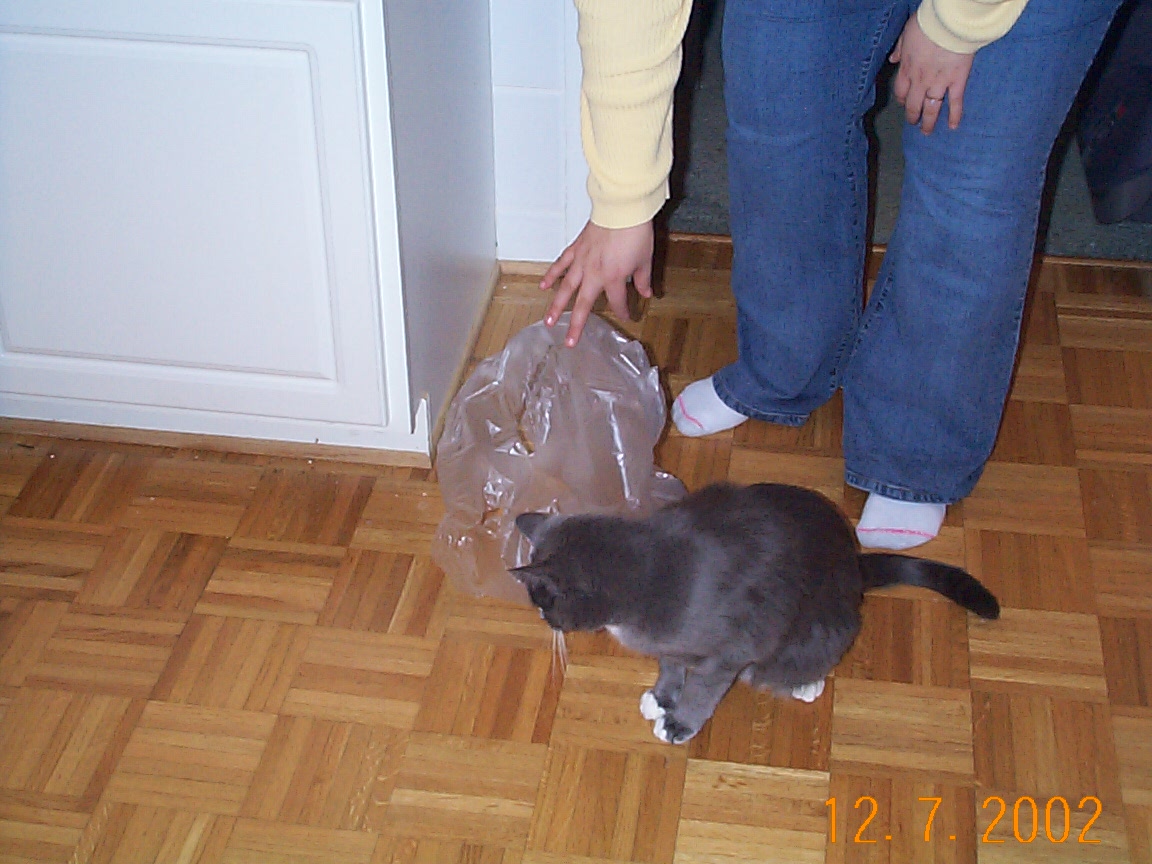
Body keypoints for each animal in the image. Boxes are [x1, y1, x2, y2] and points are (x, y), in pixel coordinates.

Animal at [511, 482, 999, 745]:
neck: (648, 568)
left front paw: (679, 722)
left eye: (542, 600)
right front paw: (663, 697)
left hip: (819, 627)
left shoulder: (732, 648)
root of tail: (856, 563)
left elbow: (702, 690)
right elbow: (670, 665)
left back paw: (804, 682)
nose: (544, 621)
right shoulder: (672, 644)